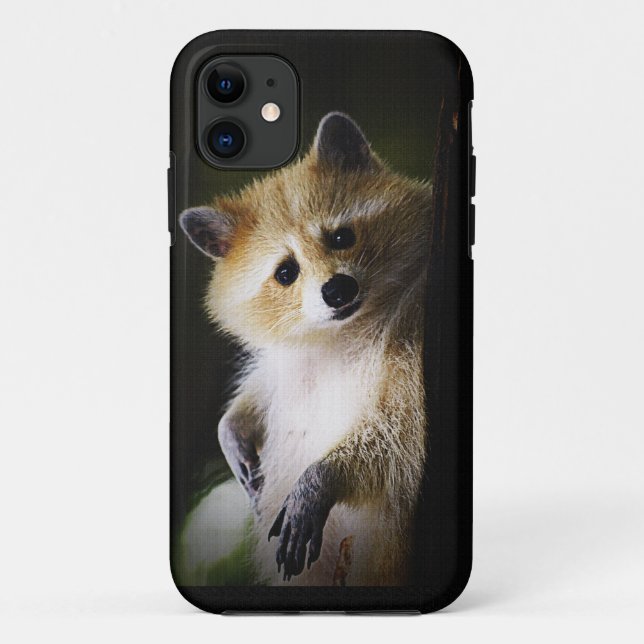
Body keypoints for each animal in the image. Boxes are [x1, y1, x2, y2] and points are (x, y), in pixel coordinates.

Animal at [180, 112, 431, 586]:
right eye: (285, 272)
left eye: (341, 237)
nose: (337, 290)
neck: (340, 331)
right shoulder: (289, 361)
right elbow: (266, 383)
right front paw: (232, 423)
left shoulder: (413, 341)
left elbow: (398, 438)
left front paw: (323, 476)